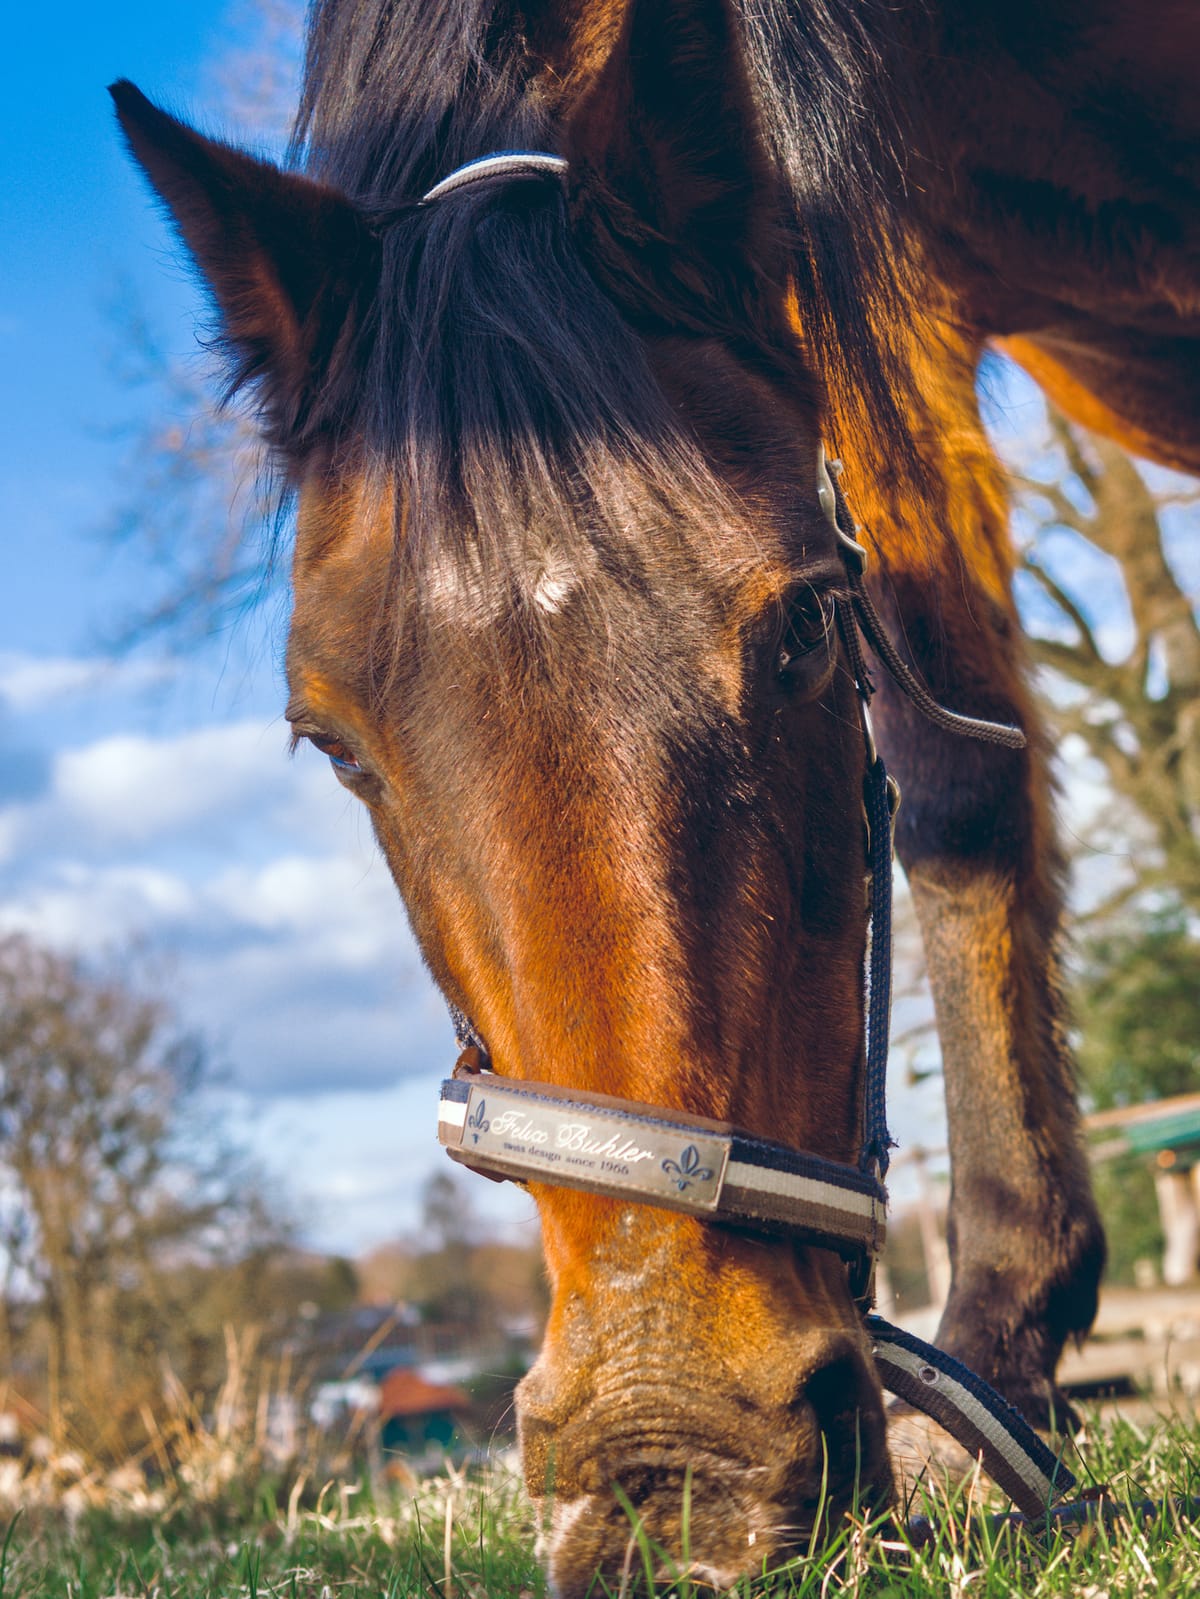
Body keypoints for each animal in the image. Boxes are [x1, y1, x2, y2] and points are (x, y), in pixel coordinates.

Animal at [111, 0, 1199, 1587]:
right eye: (332, 741)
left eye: (805, 626)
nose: (671, 1464)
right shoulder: (877, 298)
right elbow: (960, 764)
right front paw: (1006, 1347)